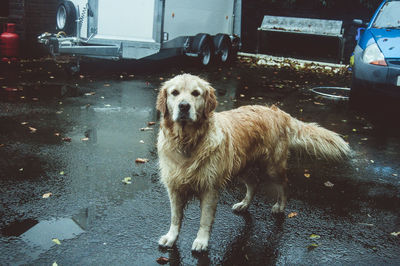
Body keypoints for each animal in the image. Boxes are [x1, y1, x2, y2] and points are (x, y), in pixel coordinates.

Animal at [156, 73, 350, 251]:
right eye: (175, 93)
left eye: (196, 93)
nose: (184, 106)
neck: (187, 142)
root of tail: (277, 111)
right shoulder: (174, 187)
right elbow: (175, 217)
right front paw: (171, 237)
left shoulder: (209, 189)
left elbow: (205, 220)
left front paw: (201, 241)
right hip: (241, 166)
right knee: (254, 183)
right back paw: (244, 204)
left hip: (273, 167)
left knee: (285, 185)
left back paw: (280, 206)